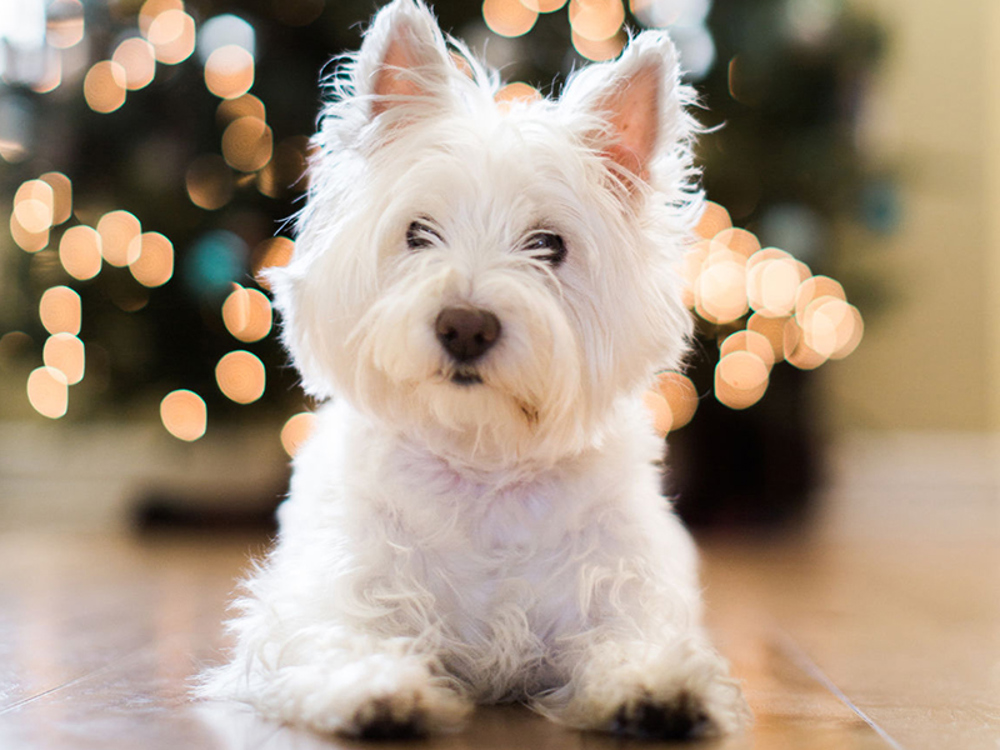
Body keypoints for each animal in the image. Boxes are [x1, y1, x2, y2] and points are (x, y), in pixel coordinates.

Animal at [199, 0, 752, 740]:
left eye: (548, 244)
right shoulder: (331, 593)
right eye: (417, 232)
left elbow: (630, 635)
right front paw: (379, 689)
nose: (465, 326)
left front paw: (659, 687)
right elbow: (339, 633)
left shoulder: (617, 586)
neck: (483, 470)